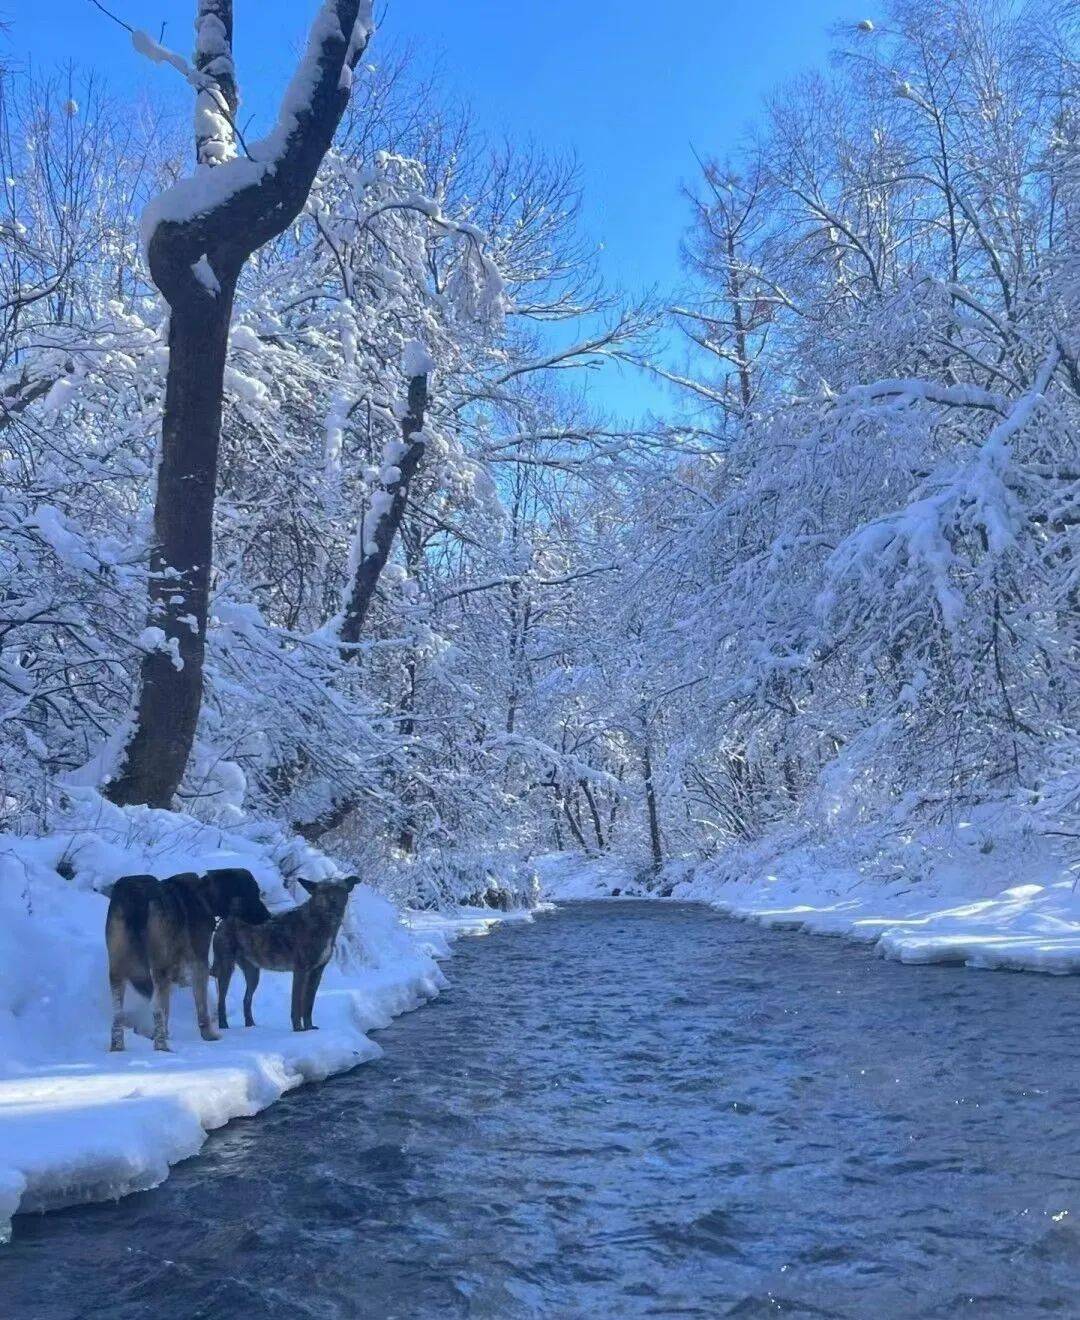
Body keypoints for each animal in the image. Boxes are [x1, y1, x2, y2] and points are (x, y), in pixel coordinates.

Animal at [105, 865, 271, 1050]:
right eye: (254, 893)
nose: (269, 916)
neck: (204, 895)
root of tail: (137, 898)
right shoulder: (199, 961)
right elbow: (200, 1005)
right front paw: (208, 1035)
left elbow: (168, 1008)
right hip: (157, 968)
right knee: (156, 1008)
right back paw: (161, 1046)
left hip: (117, 968)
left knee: (118, 1013)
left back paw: (118, 1046)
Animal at [209, 881, 356, 1034]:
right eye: (322, 892)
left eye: (339, 890)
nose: (332, 904)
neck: (321, 925)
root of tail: (224, 920)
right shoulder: (301, 971)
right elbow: (296, 1004)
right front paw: (298, 1029)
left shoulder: (317, 972)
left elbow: (308, 1005)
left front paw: (309, 1028)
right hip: (227, 969)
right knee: (221, 1000)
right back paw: (224, 1025)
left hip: (253, 974)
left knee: (246, 1000)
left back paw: (251, 1026)